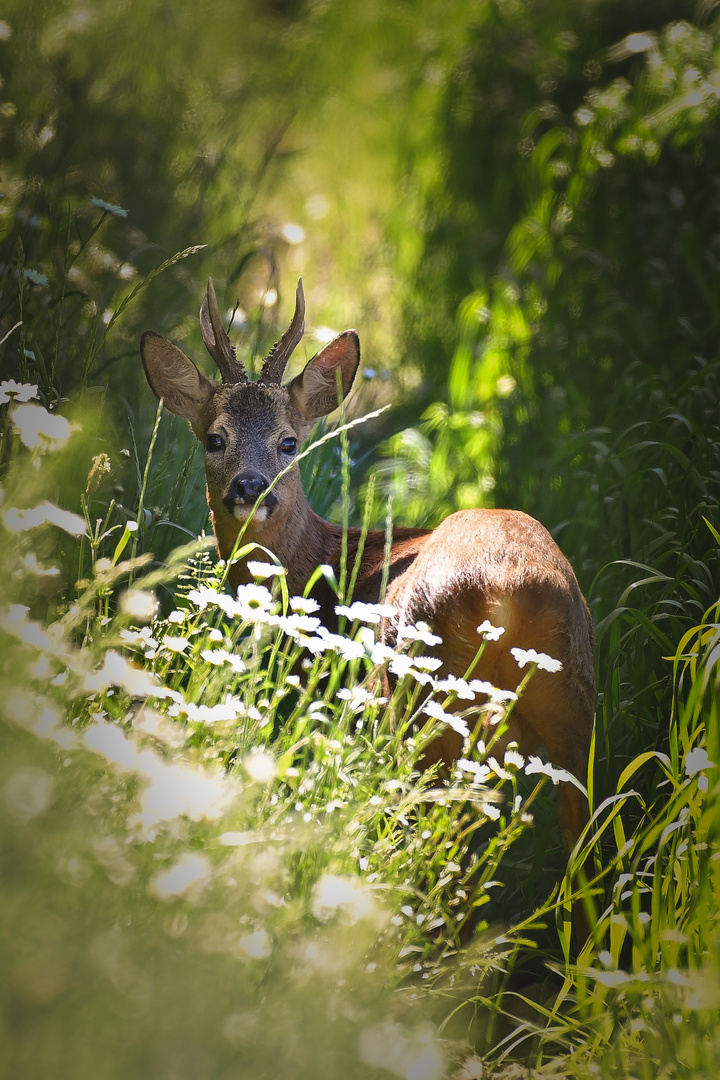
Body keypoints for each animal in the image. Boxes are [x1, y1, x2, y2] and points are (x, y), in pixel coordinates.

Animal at [140, 278, 595, 911]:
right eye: (214, 438)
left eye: (289, 442)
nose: (250, 487)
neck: (318, 563)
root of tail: (507, 591)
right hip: (573, 705)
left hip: (418, 706)